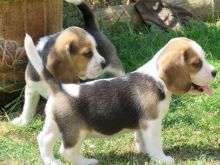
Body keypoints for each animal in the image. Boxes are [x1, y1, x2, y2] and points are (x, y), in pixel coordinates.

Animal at [24, 34, 217, 164]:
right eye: (196, 64)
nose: (215, 72)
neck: (157, 78)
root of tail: (61, 88)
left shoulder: (142, 124)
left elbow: (142, 139)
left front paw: (144, 151)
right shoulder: (152, 122)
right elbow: (155, 142)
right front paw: (161, 158)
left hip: (56, 124)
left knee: (43, 140)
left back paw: (50, 161)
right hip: (75, 131)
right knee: (66, 150)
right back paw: (86, 161)